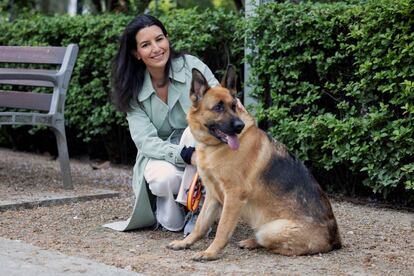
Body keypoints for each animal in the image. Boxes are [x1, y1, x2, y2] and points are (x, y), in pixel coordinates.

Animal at [167, 66, 342, 260]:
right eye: (218, 107)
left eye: (234, 106)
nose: (239, 126)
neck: (216, 147)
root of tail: (335, 239)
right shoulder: (212, 196)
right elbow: (200, 224)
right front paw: (185, 243)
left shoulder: (233, 196)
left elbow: (222, 229)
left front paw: (210, 252)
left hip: (269, 229)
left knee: (276, 245)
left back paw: (252, 242)